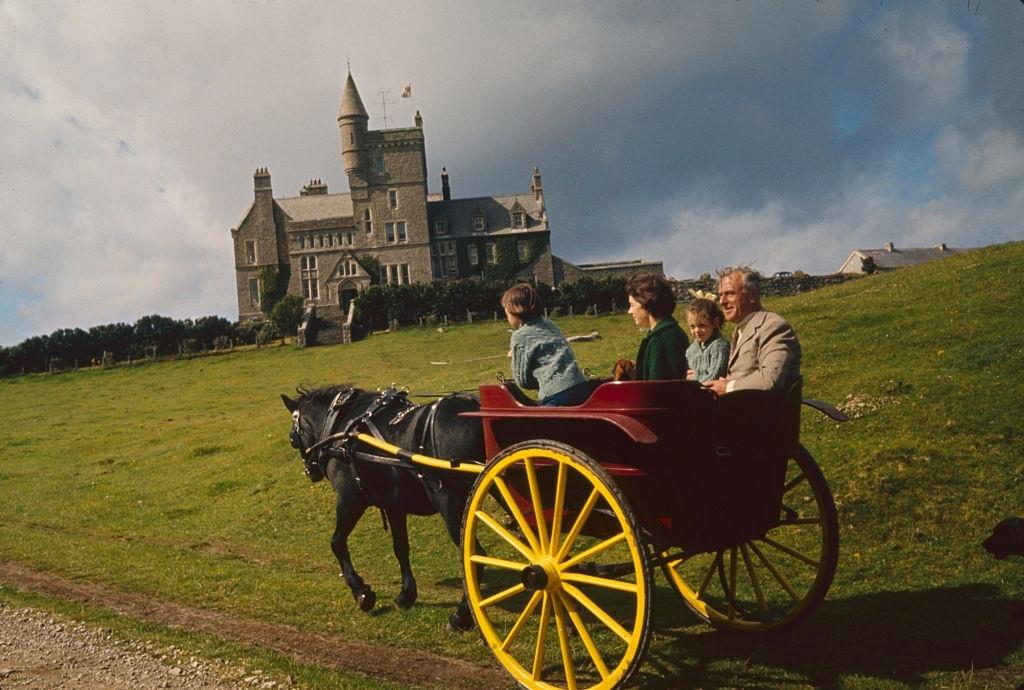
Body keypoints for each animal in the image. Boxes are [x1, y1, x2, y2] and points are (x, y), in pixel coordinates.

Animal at [280, 384, 483, 626]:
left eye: (293, 439)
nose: (310, 471)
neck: (343, 425)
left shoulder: (350, 500)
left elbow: (336, 542)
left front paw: (362, 593)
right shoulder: (394, 505)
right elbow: (400, 547)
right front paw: (406, 594)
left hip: (453, 505)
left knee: (475, 555)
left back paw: (463, 614)